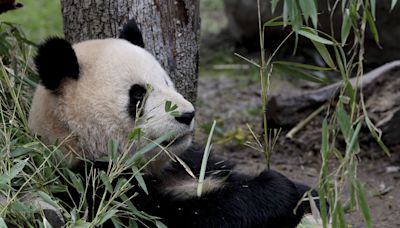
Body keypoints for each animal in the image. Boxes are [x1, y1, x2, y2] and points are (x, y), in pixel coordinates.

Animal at [28, 18, 318, 227]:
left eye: (167, 82)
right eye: (138, 95)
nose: (187, 115)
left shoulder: (192, 162)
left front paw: (305, 194)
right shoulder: (95, 188)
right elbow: (184, 217)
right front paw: (277, 189)